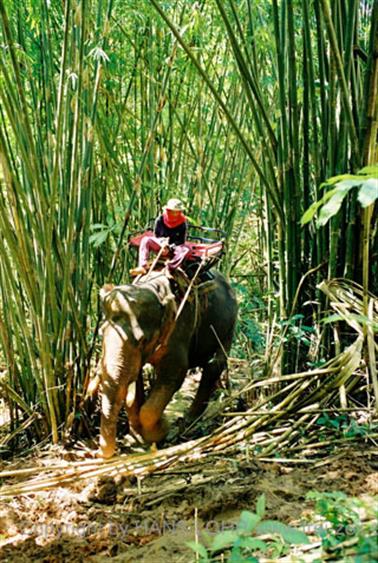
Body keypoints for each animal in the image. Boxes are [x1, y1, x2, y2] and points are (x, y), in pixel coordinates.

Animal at [99, 268, 238, 458]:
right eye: (100, 333)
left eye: (142, 340)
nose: (103, 455)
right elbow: (133, 383)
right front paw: (137, 436)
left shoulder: (179, 327)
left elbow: (174, 373)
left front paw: (161, 429)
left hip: (228, 326)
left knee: (214, 364)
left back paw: (189, 421)